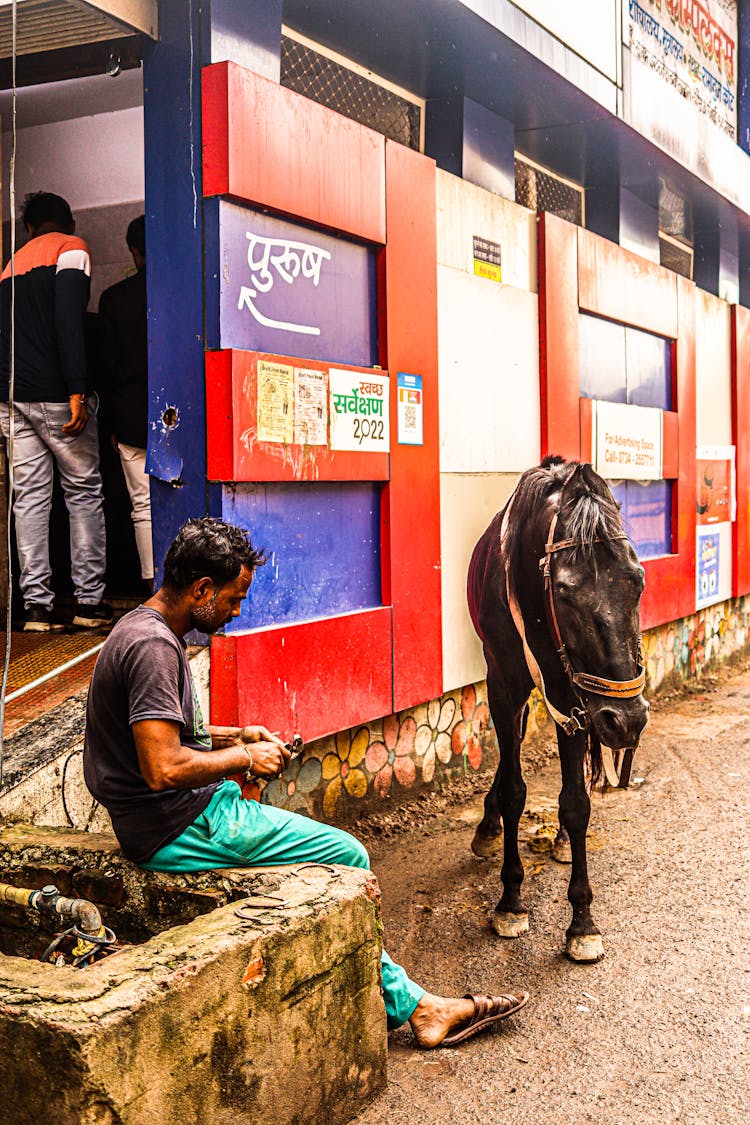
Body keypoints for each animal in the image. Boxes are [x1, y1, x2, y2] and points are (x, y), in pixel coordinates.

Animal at [465, 456, 647, 958]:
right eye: (565, 592)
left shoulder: (576, 696)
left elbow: (576, 804)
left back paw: (562, 840)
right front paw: (510, 901)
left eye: (639, 581)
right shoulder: (503, 686)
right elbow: (514, 791)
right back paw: (489, 826)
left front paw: (582, 921)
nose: (629, 721)